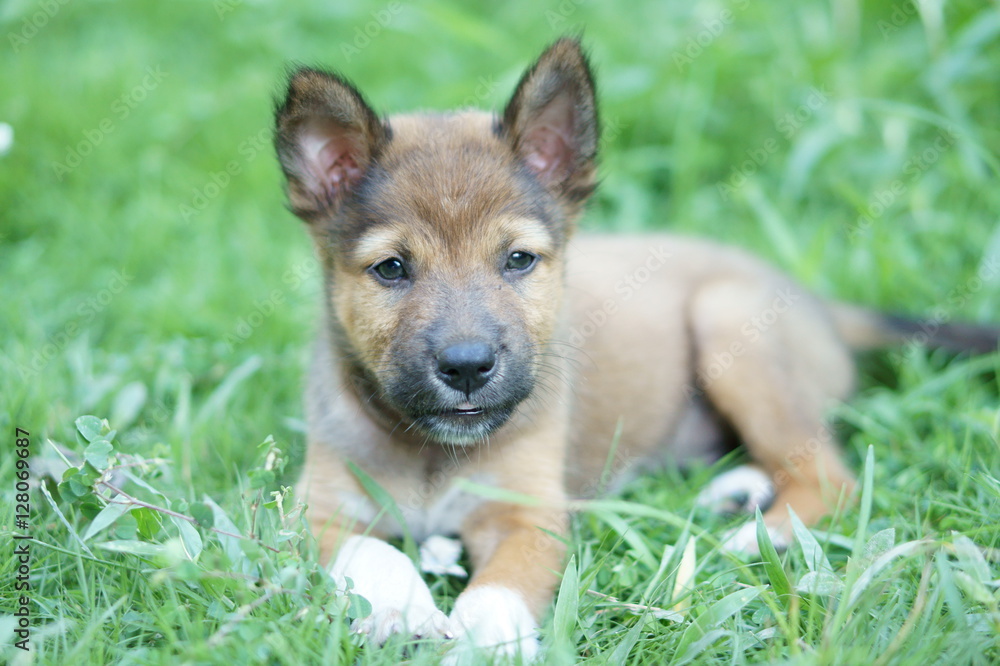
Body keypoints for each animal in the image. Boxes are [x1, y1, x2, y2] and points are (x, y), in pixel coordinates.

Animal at [274, 39, 1000, 656]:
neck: (431, 455)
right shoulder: (318, 508)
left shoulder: (530, 516)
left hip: (728, 322)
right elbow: (377, 552)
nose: (468, 367)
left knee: (829, 476)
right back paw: (736, 493)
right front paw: (404, 611)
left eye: (518, 260)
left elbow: (499, 590)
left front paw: (486, 642)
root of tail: (818, 304)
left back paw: (752, 534)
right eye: (391, 269)